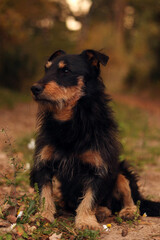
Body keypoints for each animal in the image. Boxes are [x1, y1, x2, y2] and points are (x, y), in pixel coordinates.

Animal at [30, 49, 160, 231]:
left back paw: (124, 211)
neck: (70, 122)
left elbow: (90, 199)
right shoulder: (43, 163)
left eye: (66, 70)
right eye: (46, 69)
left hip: (121, 171)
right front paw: (43, 216)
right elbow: (45, 193)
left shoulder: (99, 168)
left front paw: (86, 221)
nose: (34, 88)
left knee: (128, 197)